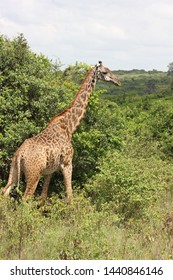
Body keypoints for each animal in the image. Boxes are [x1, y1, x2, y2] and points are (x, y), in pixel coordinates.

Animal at [3, 61, 121, 205]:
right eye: (104, 72)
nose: (118, 81)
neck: (69, 127)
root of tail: (20, 154)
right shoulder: (67, 163)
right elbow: (70, 195)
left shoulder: (50, 171)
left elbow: (43, 196)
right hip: (34, 174)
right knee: (26, 199)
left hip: (14, 169)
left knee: (5, 191)